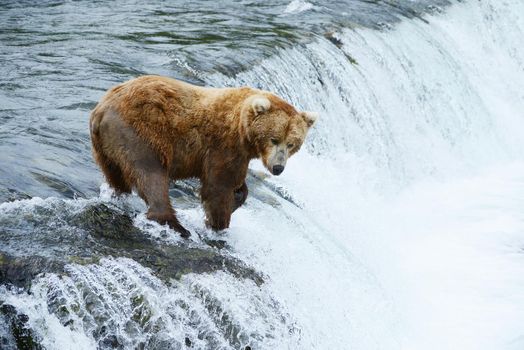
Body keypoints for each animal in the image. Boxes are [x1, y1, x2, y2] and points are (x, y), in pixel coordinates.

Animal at [89, 75, 318, 237]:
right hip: (141, 134)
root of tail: (101, 110)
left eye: (291, 144)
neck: (244, 132)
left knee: (116, 175)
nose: (278, 168)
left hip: (105, 148)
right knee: (151, 175)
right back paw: (175, 225)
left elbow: (236, 183)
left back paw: (117, 194)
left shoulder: (238, 153)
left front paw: (237, 197)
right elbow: (218, 186)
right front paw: (219, 223)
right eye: (274, 139)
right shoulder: (223, 145)